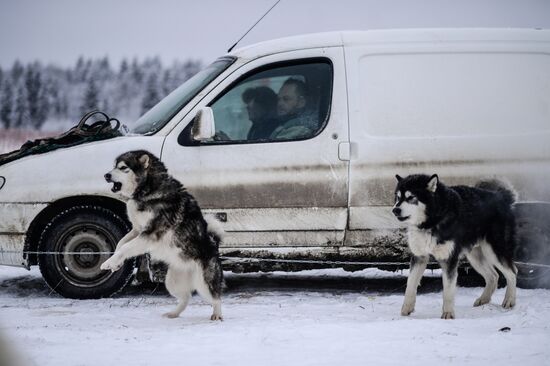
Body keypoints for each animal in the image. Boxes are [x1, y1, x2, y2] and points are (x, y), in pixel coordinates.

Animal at [101, 149, 224, 320]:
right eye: (114, 166)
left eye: (123, 167)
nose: (106, 175)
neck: (148, 190)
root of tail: (214, 245)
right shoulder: (137, 230)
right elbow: (121, 244)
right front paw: (115, 262)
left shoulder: (149, 234)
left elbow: (126, 247)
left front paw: (109, 263)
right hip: (172, 282)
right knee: (186, 298)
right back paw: (173, 313)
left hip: (204, 283)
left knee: (216, 297)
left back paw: (217, 315)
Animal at [394, 173, 520, 318]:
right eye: (398, 197)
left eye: (411, 197)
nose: (395, 210)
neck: (432, 221)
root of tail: (502, 197)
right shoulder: (419, 257)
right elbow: (410, 285)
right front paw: (406, 310)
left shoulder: (449, 259)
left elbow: (448, 290)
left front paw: (448, 313)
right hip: (475, 257)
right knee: (493, 276)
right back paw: (484, 299)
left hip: (495, 251)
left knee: (512, 272)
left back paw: (509, 300)